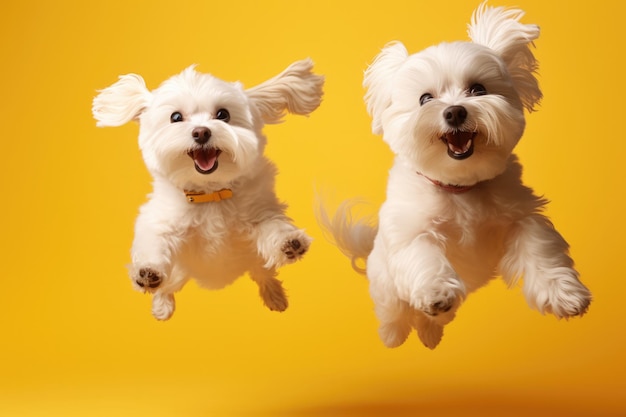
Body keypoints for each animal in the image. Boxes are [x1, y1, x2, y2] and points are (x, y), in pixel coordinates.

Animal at [94, 57, 326, 318]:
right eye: (176, 117)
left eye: (223, 114)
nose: (201, 132)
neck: (210, 195)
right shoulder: (160, 221)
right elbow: (154, 243)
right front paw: (148, 272)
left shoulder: (260, 212)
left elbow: (272, 225)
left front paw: (289, 242)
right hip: (179, 273)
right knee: (168, 287)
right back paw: (162, 305)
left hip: (254, 259)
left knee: (263, 272)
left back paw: (273, 293)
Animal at [320, 3, 588, 348]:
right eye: (425, 98)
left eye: (478, 89)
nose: (455, 111)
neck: (459, 187)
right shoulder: (411, 229)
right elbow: (424, 254)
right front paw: (436, 291)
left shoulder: (521, 214)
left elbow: (539, 246)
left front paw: (562, 292)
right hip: (386, 287)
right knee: (394, 311)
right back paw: (394, 334)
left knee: (429, 321)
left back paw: (430, 332)